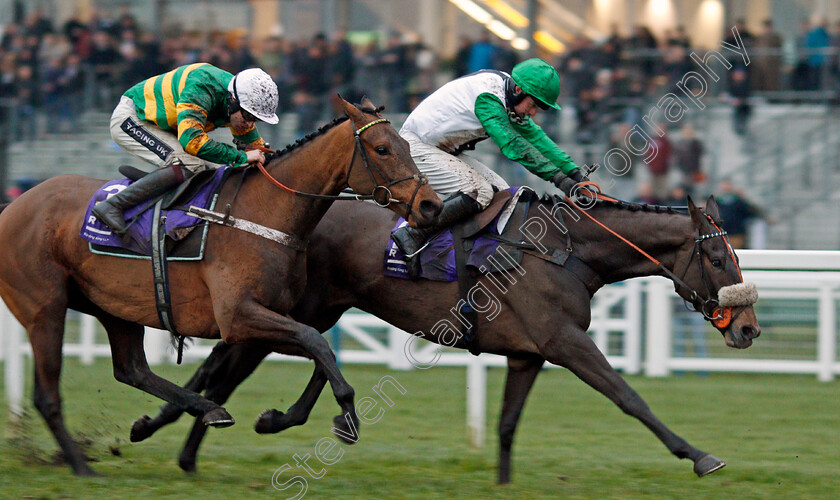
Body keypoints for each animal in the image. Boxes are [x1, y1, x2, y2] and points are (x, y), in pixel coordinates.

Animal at [0, 98, 446, 476]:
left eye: (406, 145)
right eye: (382, 149)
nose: (431, 206)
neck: (265, 214)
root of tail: (15, 204)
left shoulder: (273, 318)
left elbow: (319, 349)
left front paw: (289, 417)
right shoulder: (239, 317)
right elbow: (316, 343)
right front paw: (347, 417)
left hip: (113, 307)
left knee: (133, 371)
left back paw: (205, 410)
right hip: (45, 308)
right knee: (48, 394)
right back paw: (81, 465)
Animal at [133, 193, 760, 482]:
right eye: (717, 258)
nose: (749, 328)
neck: (567, 251)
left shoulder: (528, 355)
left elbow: (507, 425)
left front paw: (503, 484)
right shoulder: (565, 342)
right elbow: (629, 397)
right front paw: (699, 455)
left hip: (320, 306)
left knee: (249, 365)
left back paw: (205, 437)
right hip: (288, 308)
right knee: (230, 367)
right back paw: (180, 433)